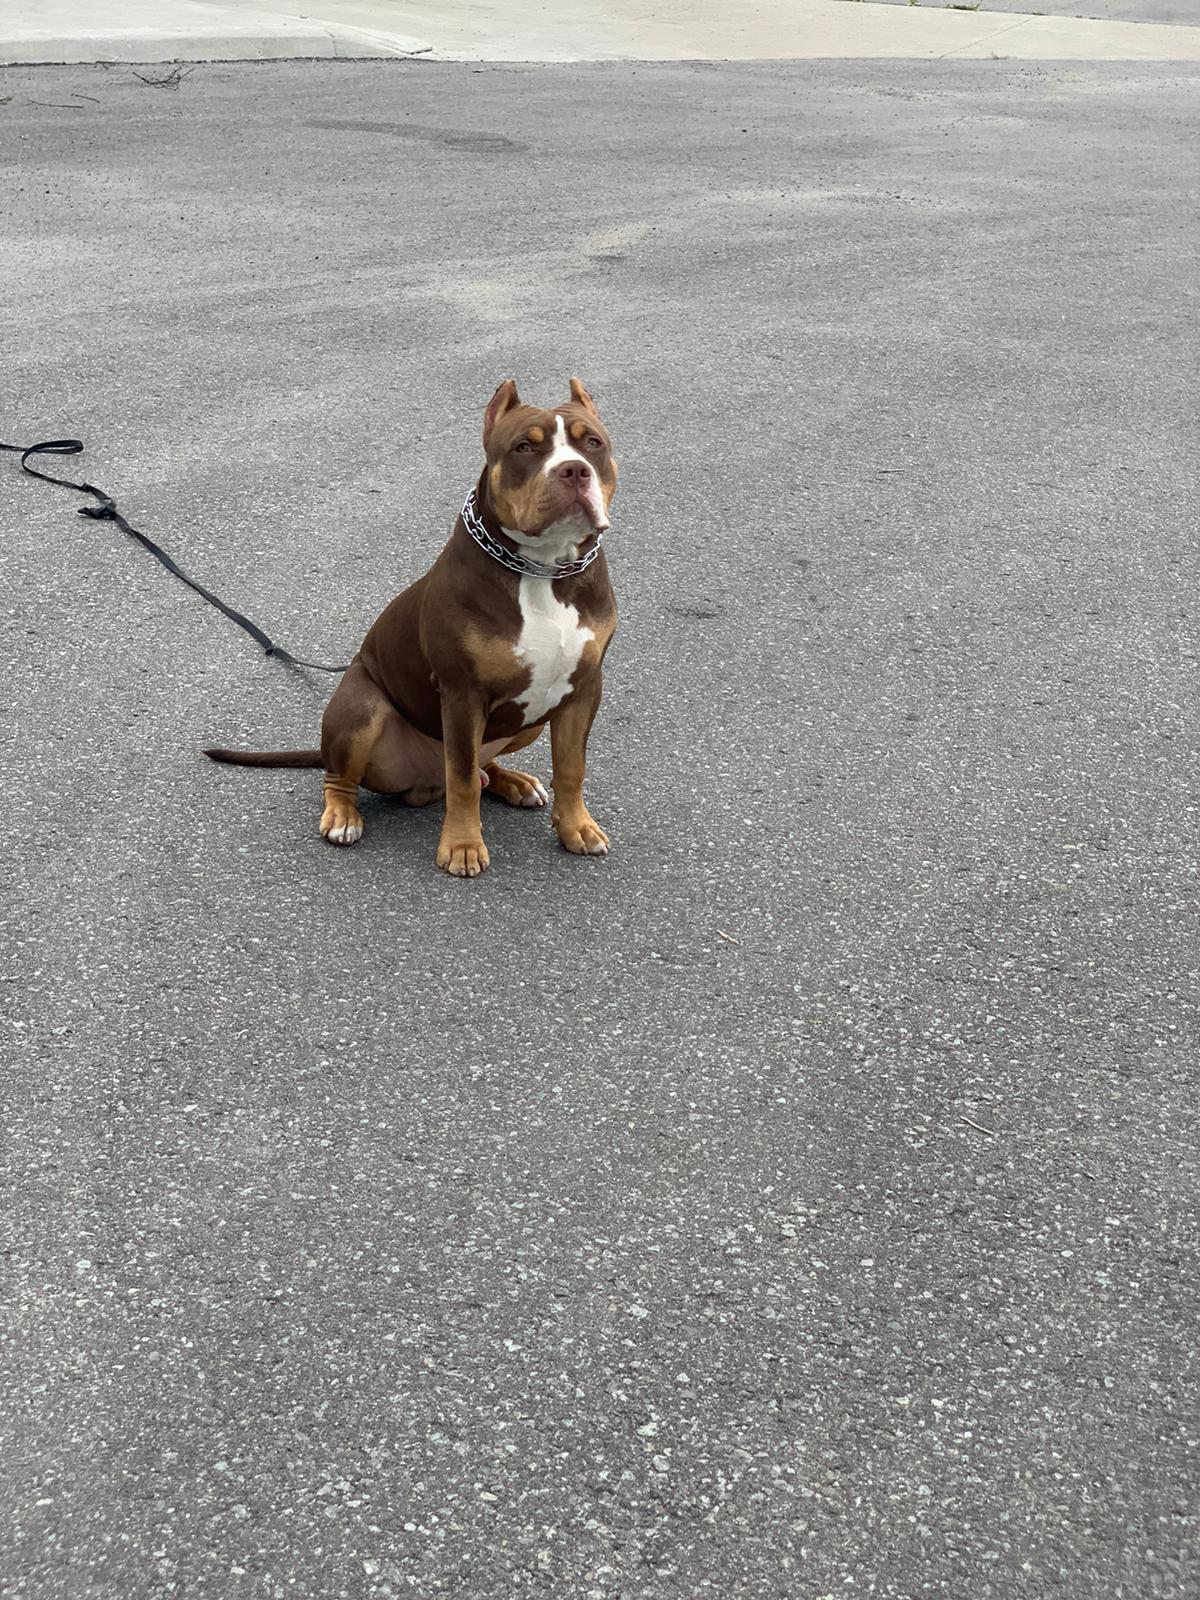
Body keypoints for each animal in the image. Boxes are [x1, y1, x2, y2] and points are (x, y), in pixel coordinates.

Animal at [206, 378, 618, 877]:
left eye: (592, 443)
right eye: (524, 447)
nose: (574, 470)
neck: (543, 571)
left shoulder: (583, 688)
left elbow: (571, 767)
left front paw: (576, 827)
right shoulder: (462, 693)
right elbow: (462, 778)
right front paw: (462, 846)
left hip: (531, 719)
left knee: (484, 766)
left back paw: (513, 781)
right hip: (361, 707)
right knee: (348, 776)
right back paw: (342, 816)